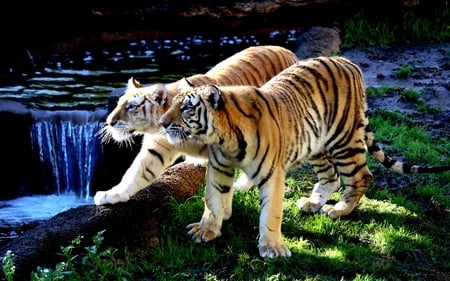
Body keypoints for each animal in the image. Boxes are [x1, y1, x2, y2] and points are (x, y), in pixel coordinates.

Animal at [94, 44, 298, 205]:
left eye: (131, 107)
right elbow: (134, 173)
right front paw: (112, 194)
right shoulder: (155, 149)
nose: (109, 122)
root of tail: (288, 51)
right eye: (119, 103)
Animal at [159, 55, 450, 258]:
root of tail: (349, 62)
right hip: (316, 145)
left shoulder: (272, 175)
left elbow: (271, 213)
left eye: (186, 109)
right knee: (331, 177)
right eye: (173, 104)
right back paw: (312, 203)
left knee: (361, 177)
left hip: (344, 140)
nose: (162, 123)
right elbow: (213, 200)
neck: (224, 138)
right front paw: (206, 230)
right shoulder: (220, 167)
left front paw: (273, 248)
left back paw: (339, 210)